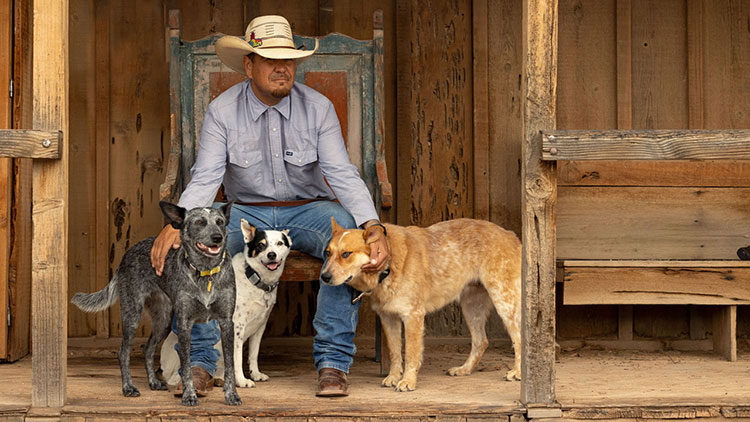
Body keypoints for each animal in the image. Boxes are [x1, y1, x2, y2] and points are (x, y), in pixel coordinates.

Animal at [71, 203, 241, 408]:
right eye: (199, 222)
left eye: (220, 222)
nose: (218, 237)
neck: (205, 272)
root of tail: (127, 253)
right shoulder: (185, 324)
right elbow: (186, 368)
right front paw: (189, 395)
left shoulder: (226, 323)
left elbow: (230, 366)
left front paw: (231, 395)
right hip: (132, 315)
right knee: (123, 352)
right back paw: (128, 387)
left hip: (163, 321)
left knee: (148, 349)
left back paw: (153, 381)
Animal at [160, 221, 292, 390]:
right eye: (261, 245)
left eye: (280, 243)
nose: (271, 255)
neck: (253, 277)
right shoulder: (237, 328)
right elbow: (237, 358)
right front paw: (242, 381)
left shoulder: (260, 327)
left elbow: (253, 354)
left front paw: (255, 374)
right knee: (176, 376)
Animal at [318, 218, 524, 392]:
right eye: (327, 253)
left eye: (346, 254)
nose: (324, 277)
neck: (388, 266)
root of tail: (511, 235)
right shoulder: (388, 317)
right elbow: (394, 352)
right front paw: (394, 377)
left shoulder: (413, 316)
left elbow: (411, 354)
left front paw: (408, 381)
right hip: (472, 306)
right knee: (481, 341)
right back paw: (464, 369)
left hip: (504, 300)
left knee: (519, 337)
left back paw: (518, 373)